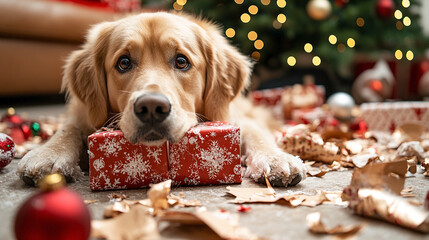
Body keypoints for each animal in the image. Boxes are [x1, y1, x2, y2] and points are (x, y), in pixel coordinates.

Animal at [16, 11, 304, 188]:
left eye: (181, 61)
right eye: (123, 63)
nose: (152, 107)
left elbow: (257, 134)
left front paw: (275, 159)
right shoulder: (80, 113)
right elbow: (69, 129)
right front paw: (48, 154)